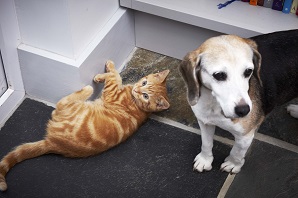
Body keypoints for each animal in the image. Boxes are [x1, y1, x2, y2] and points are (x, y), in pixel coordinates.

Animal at [0, 60, 170, 190]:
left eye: (146, 95)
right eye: (144, 82)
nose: (137, 88)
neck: (140, 107)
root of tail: (54, 143)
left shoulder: (113, 92)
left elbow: (116, 77)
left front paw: (106, 70)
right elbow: (116, 77)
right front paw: (106, 72)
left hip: (72, 108)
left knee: (62, 104)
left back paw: (86, 89)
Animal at [179, 29, 298, 173]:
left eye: (248, 71)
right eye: (219, 75)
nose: (244, 110)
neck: (214, 103)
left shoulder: (245, 136)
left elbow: (237, 152)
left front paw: (233, 164)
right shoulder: (204, 122)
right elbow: (206, 143)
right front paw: (205, 159)